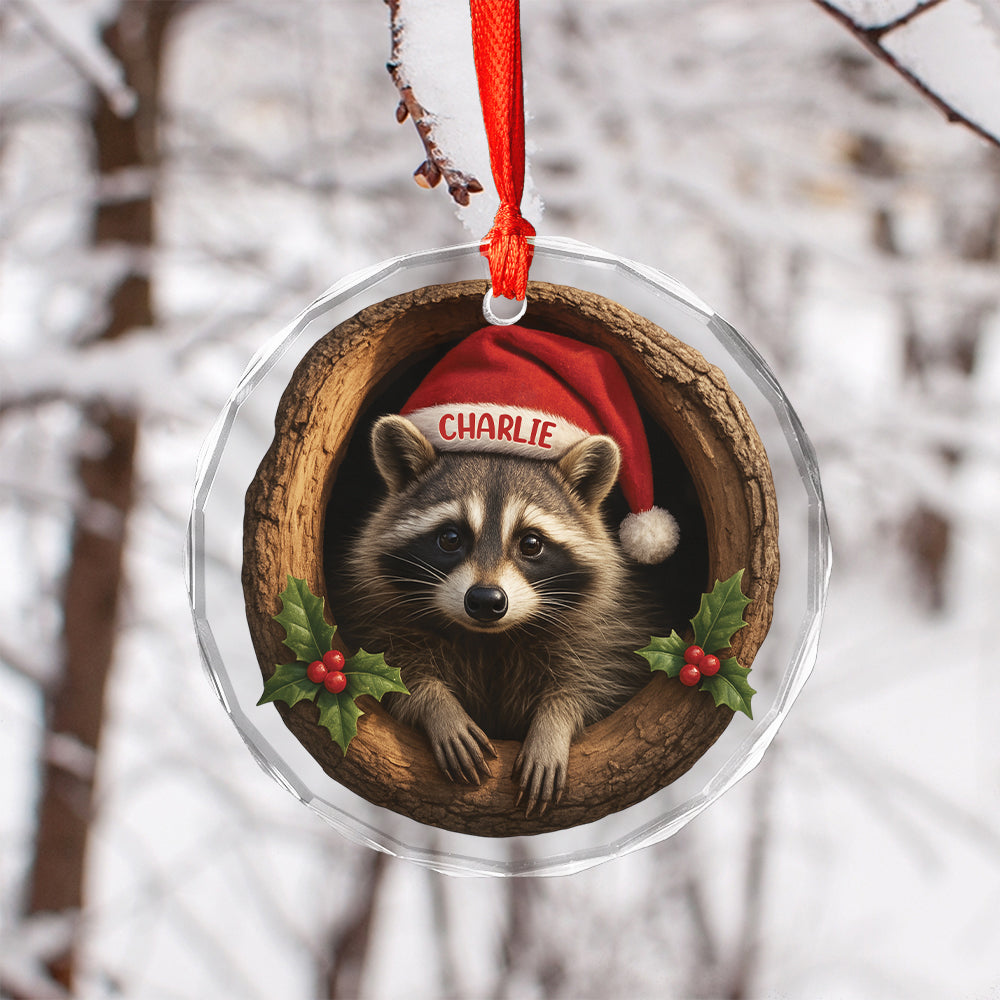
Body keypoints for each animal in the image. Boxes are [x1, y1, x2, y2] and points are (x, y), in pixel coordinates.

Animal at [337, 414, 658, 815]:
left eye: (531, 543)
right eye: (450, 538)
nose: (486, 600)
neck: (489, 638)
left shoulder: (609, 629)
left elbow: (599, 682)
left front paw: (554, 722)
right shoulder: (376, 614)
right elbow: (389, 671)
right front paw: (437, 705)